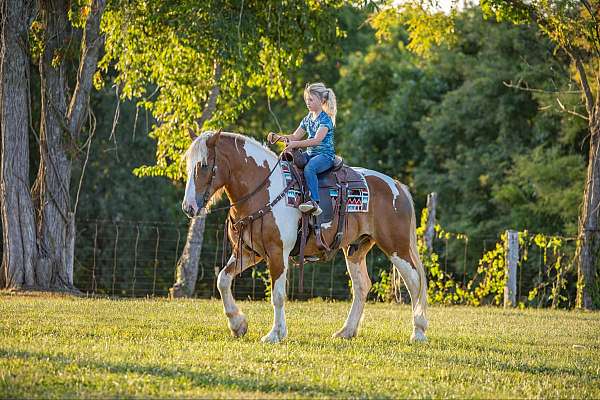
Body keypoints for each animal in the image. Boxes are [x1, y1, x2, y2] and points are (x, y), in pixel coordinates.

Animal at [180, 131, 428, 344]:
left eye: (203, 165)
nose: (188, 207)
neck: (265, 189)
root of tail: (397, 186)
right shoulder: (249, 253)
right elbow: (223, 279)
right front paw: (238, 324)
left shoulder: (277, 253)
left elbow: (278, 295)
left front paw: (275, 334)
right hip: (356, 249)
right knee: (362, 286)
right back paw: (346, 331)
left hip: (396, 247)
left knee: (414, 281)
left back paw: (418, 331)